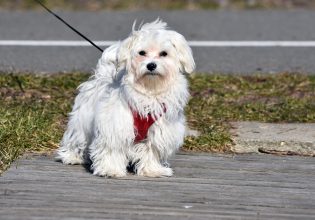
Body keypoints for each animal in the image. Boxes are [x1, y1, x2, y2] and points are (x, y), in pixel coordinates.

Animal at [56, 18, 195, 177]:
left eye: (164, 53)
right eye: (142, 53)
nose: (151, 65)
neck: (149, 90)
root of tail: (101, 76)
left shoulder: (159, 130)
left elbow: (151, 151)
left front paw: (152, 170)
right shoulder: (115, 126)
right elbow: (112, 148)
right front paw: (110, 169)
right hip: (81, 119)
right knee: (77, 137)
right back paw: (72, 156)